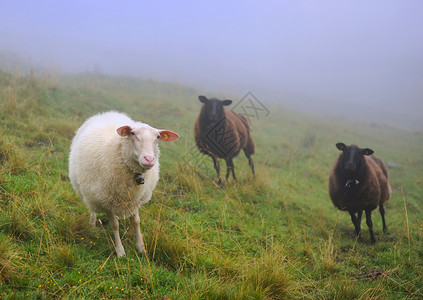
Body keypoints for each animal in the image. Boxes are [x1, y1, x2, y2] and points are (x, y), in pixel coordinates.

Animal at [68, 111, 181, 256]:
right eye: (132, 133)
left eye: (157, 137)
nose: (149, 159)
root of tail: (105, 114)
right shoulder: (107, 201)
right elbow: (115, 225)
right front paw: (120, 251)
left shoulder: (135, 199)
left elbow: (136, 222)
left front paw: (141, 247)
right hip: (92, 191)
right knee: (92, 207)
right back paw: (92, 223)